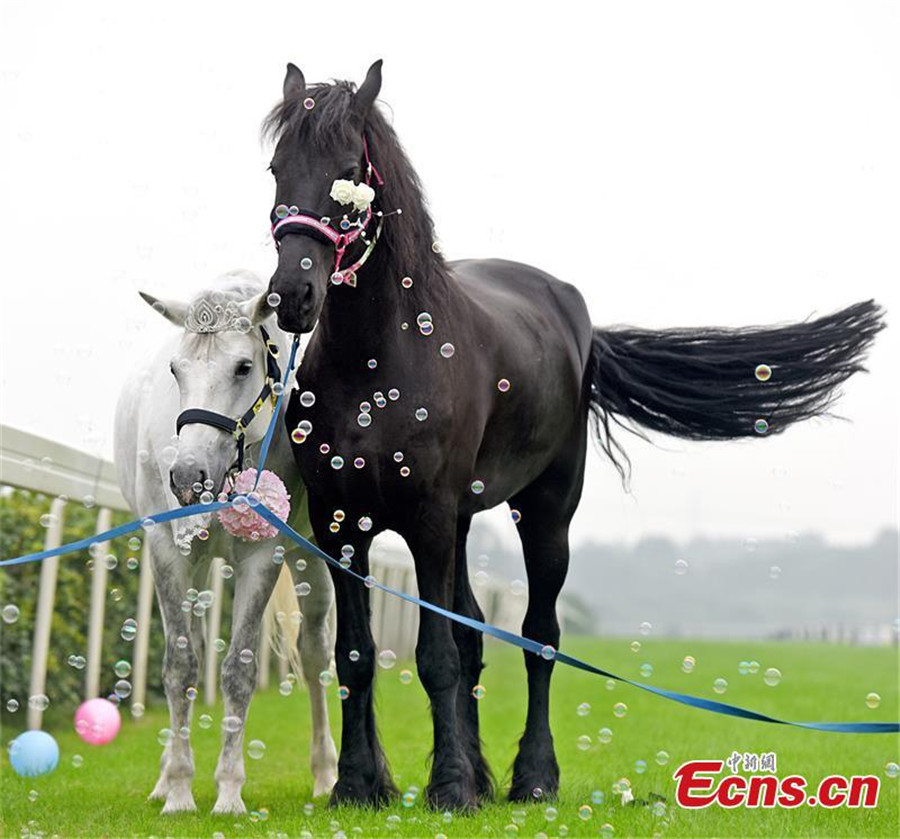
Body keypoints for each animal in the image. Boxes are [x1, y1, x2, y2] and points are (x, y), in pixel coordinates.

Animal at [113, 270, 337, 814]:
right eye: (176, 369)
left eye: (242, 367)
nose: (187, 475)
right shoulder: (167, 548)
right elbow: (180, 665)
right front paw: (177, 789)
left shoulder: (265, 555)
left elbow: (239, 669)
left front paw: (230, 791)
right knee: (193, 646)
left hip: (308, 562)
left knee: (315, 654)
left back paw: (325, 775)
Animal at [262, 61, 885, 810]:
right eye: (275, 168)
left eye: (350, 172)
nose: (292, 296)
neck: (378, 363)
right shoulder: (340, 523)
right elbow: (357, 655)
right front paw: (360, 785)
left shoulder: (429, 520)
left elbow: (436, 656)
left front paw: (449, 788)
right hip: (466, 521)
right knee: (476, 634)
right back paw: (484, 775)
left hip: (545, 510)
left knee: (540, 637)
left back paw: (533, 775)